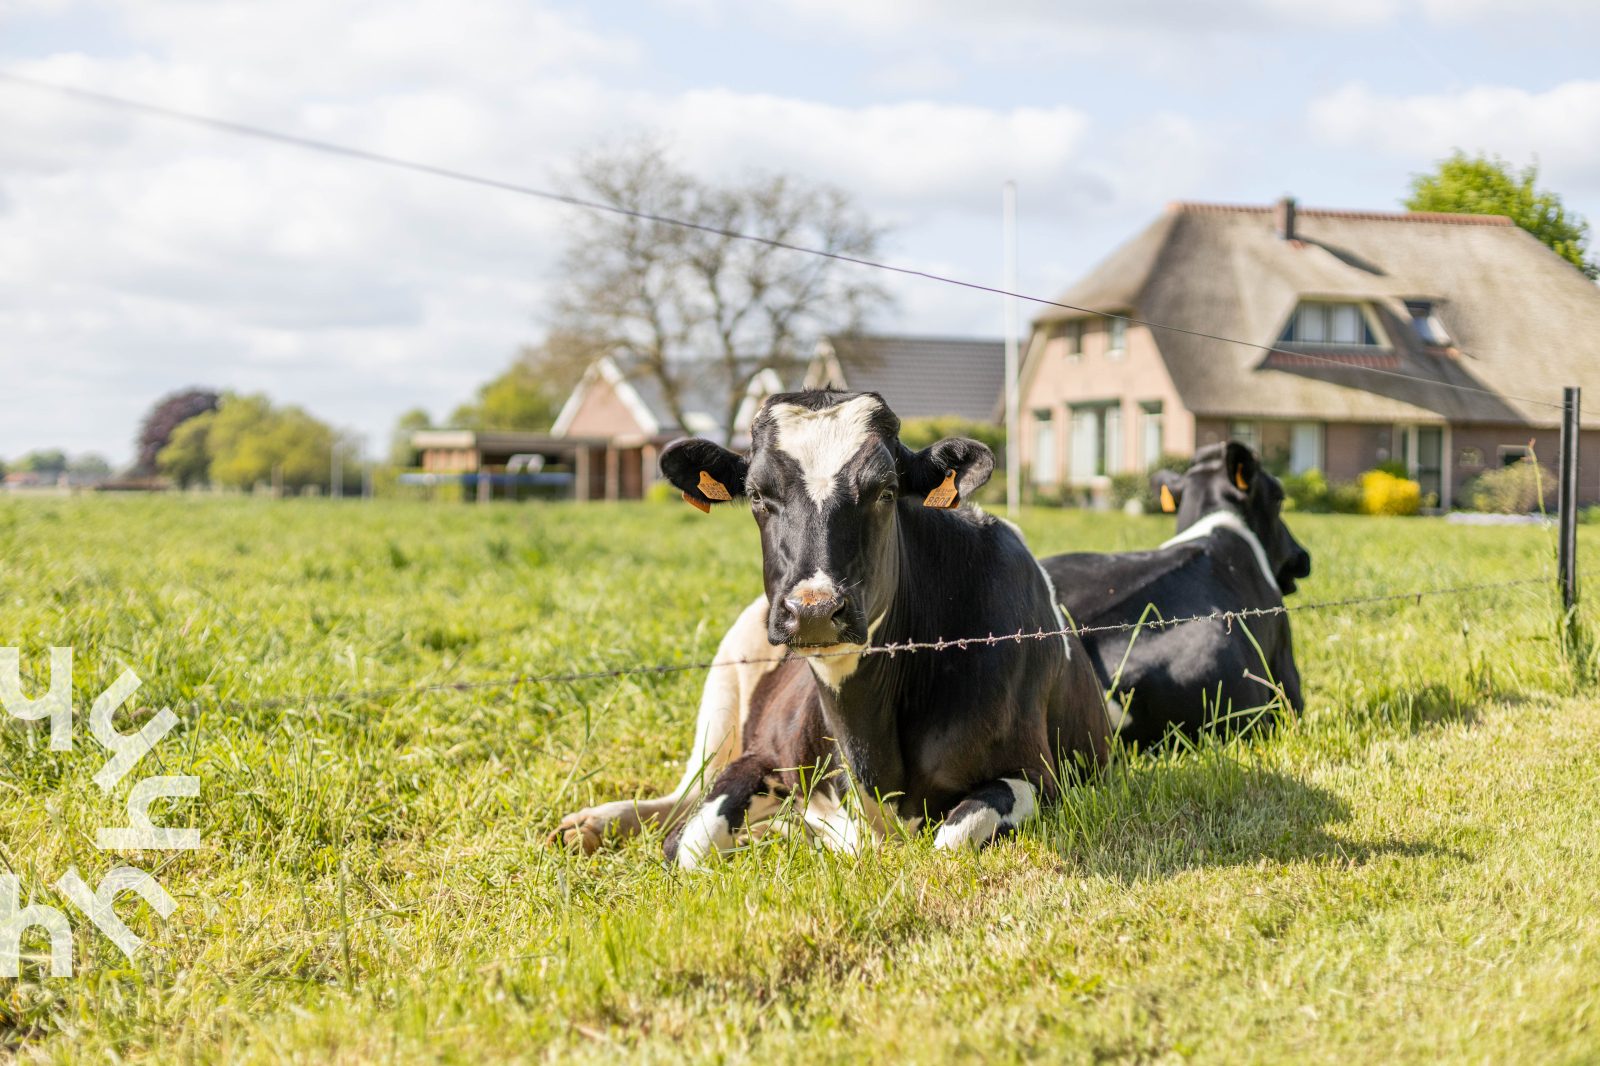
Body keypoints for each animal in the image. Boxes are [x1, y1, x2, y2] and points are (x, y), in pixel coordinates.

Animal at [544, 390, 1107, 864]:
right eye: (756, 495)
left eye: (885, 491)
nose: (813, 610)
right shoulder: (762, 751)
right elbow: (690, 846)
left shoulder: (1039, 774)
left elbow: (952, 838)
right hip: (724, 684)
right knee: (683, 793)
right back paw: (593, 824)